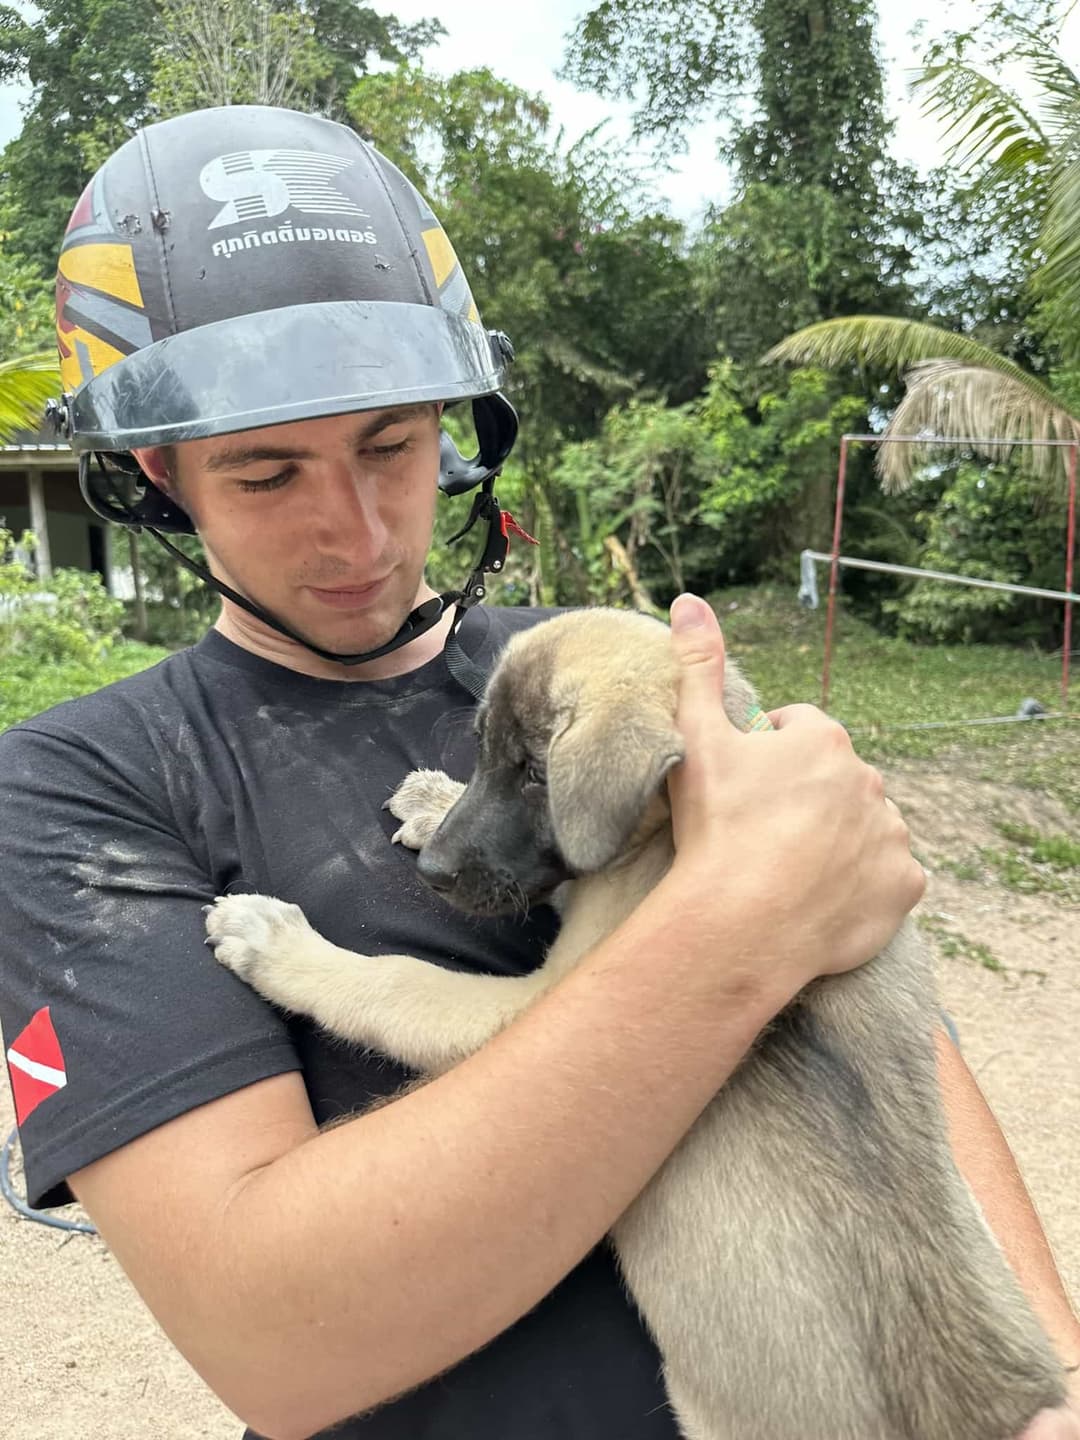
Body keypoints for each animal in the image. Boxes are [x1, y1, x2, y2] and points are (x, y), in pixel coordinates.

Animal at [207, 610, 1071, 1440]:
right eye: (485, 753)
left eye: (539, 774)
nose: (435, 873)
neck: (669, 833)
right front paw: (432, 799)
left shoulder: (545, 998)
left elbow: (397, 980)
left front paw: (276, 943)